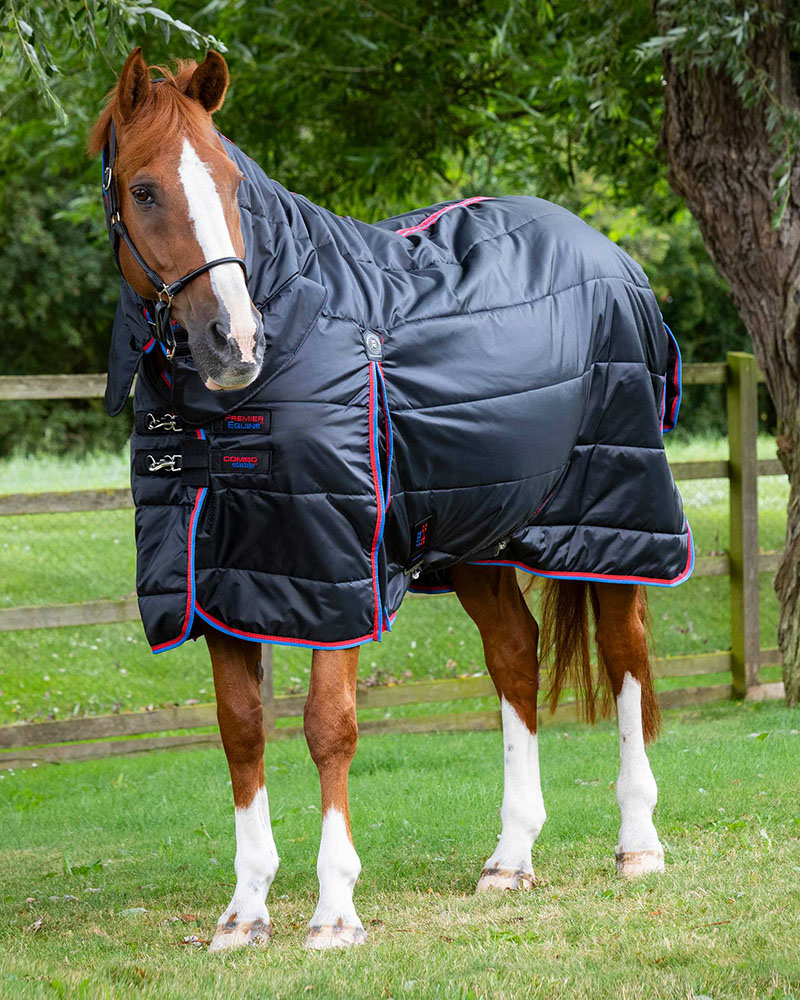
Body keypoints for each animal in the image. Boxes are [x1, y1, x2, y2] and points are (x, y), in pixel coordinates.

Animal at [90, 48, 678, 951]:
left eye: (231, 181)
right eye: (145, 189)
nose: (236, 341)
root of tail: (610, 256)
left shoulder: (340, 570)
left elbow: (329, 726)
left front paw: (334, 911)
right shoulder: (221, 580)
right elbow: (240, 729)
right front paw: (244, 913)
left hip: (617, 519)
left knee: (625, 658)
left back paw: (638, 844)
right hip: (478, 535)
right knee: (516, 657)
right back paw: (510, 858)